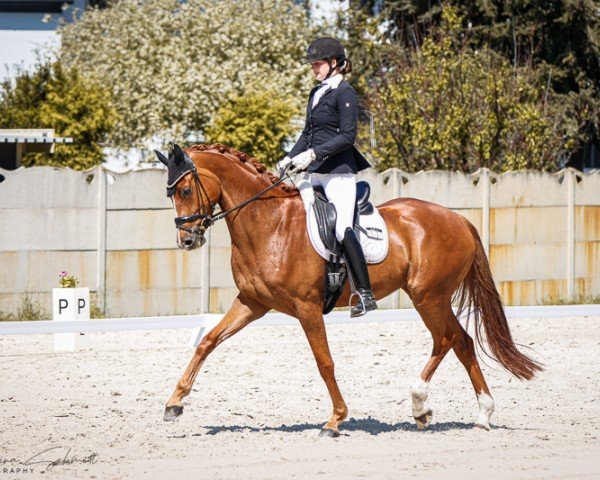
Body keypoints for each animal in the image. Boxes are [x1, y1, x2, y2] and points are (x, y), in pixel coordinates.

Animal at [152, 141, 540, 436]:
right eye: (170, 194)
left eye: (185, 190)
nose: (187, 241)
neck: (268, 223)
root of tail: (457, 218)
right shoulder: (252, 303)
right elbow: (207, 341)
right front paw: (174, 403)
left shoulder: (307, 307)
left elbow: (324, 362)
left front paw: (335, 420)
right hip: (432, 298)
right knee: (462, 342)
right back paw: (480, 414)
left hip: (427, 296)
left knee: (446, 339)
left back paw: (420, 404)